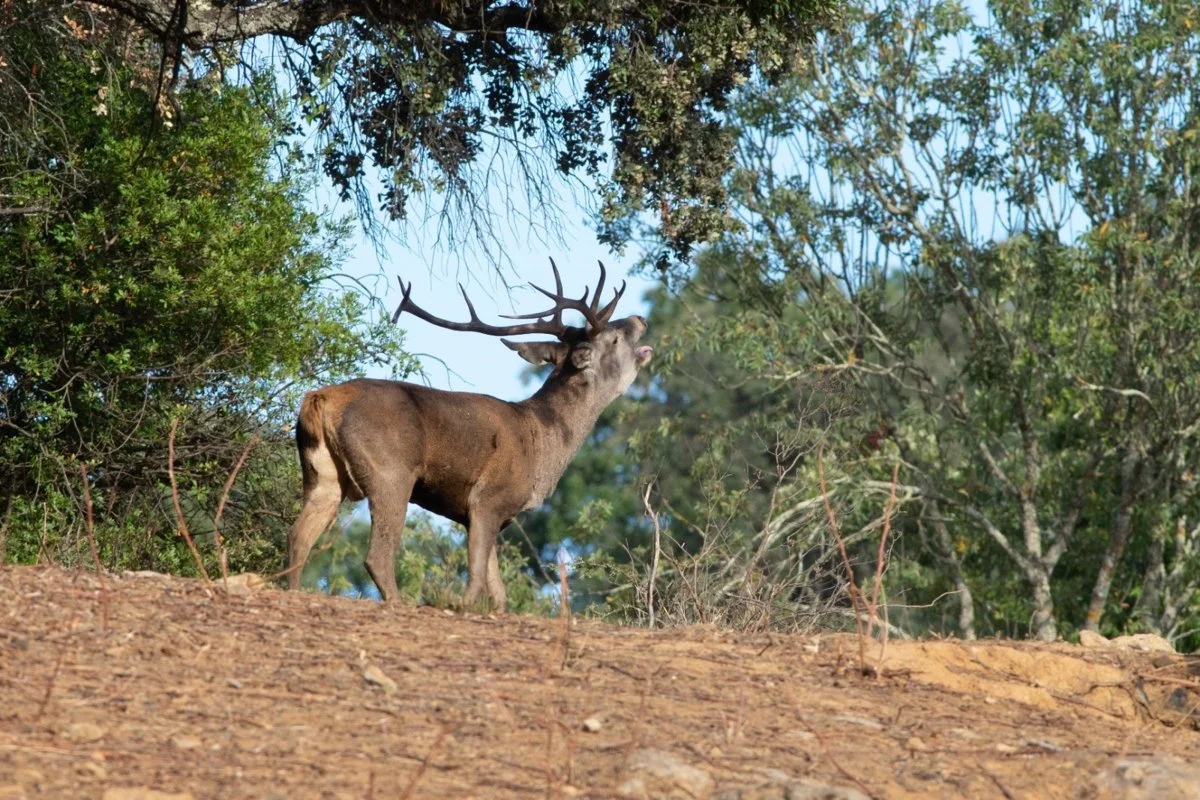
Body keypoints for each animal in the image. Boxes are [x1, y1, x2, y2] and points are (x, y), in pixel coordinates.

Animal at [284, 260, 652, 609]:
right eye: (615, 338)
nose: (640, 318)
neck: (542, 446)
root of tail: (319, 399)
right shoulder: (489, 498)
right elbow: (476, 580)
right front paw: (460, 606)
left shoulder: (482, 515)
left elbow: (498, 592)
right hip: (390, 471)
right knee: (377, 555)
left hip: (322, 475)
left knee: (297, 537)